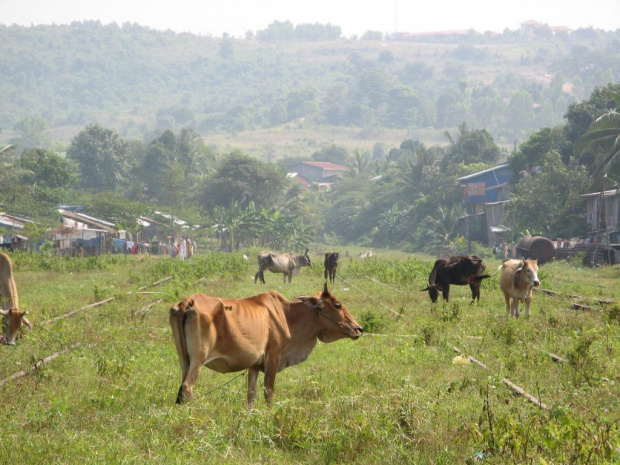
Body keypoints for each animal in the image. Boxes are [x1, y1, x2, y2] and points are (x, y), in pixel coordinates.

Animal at [170, 280, 364, 404]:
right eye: (337, 305)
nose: (359, 329)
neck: (287, 314)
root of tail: (189, 301)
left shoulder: (254, 365)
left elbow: (251, 395)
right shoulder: (273, 358)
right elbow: (268, 393)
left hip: (184, 360)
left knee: (181, 388)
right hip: (198, 359)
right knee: (187, 387)